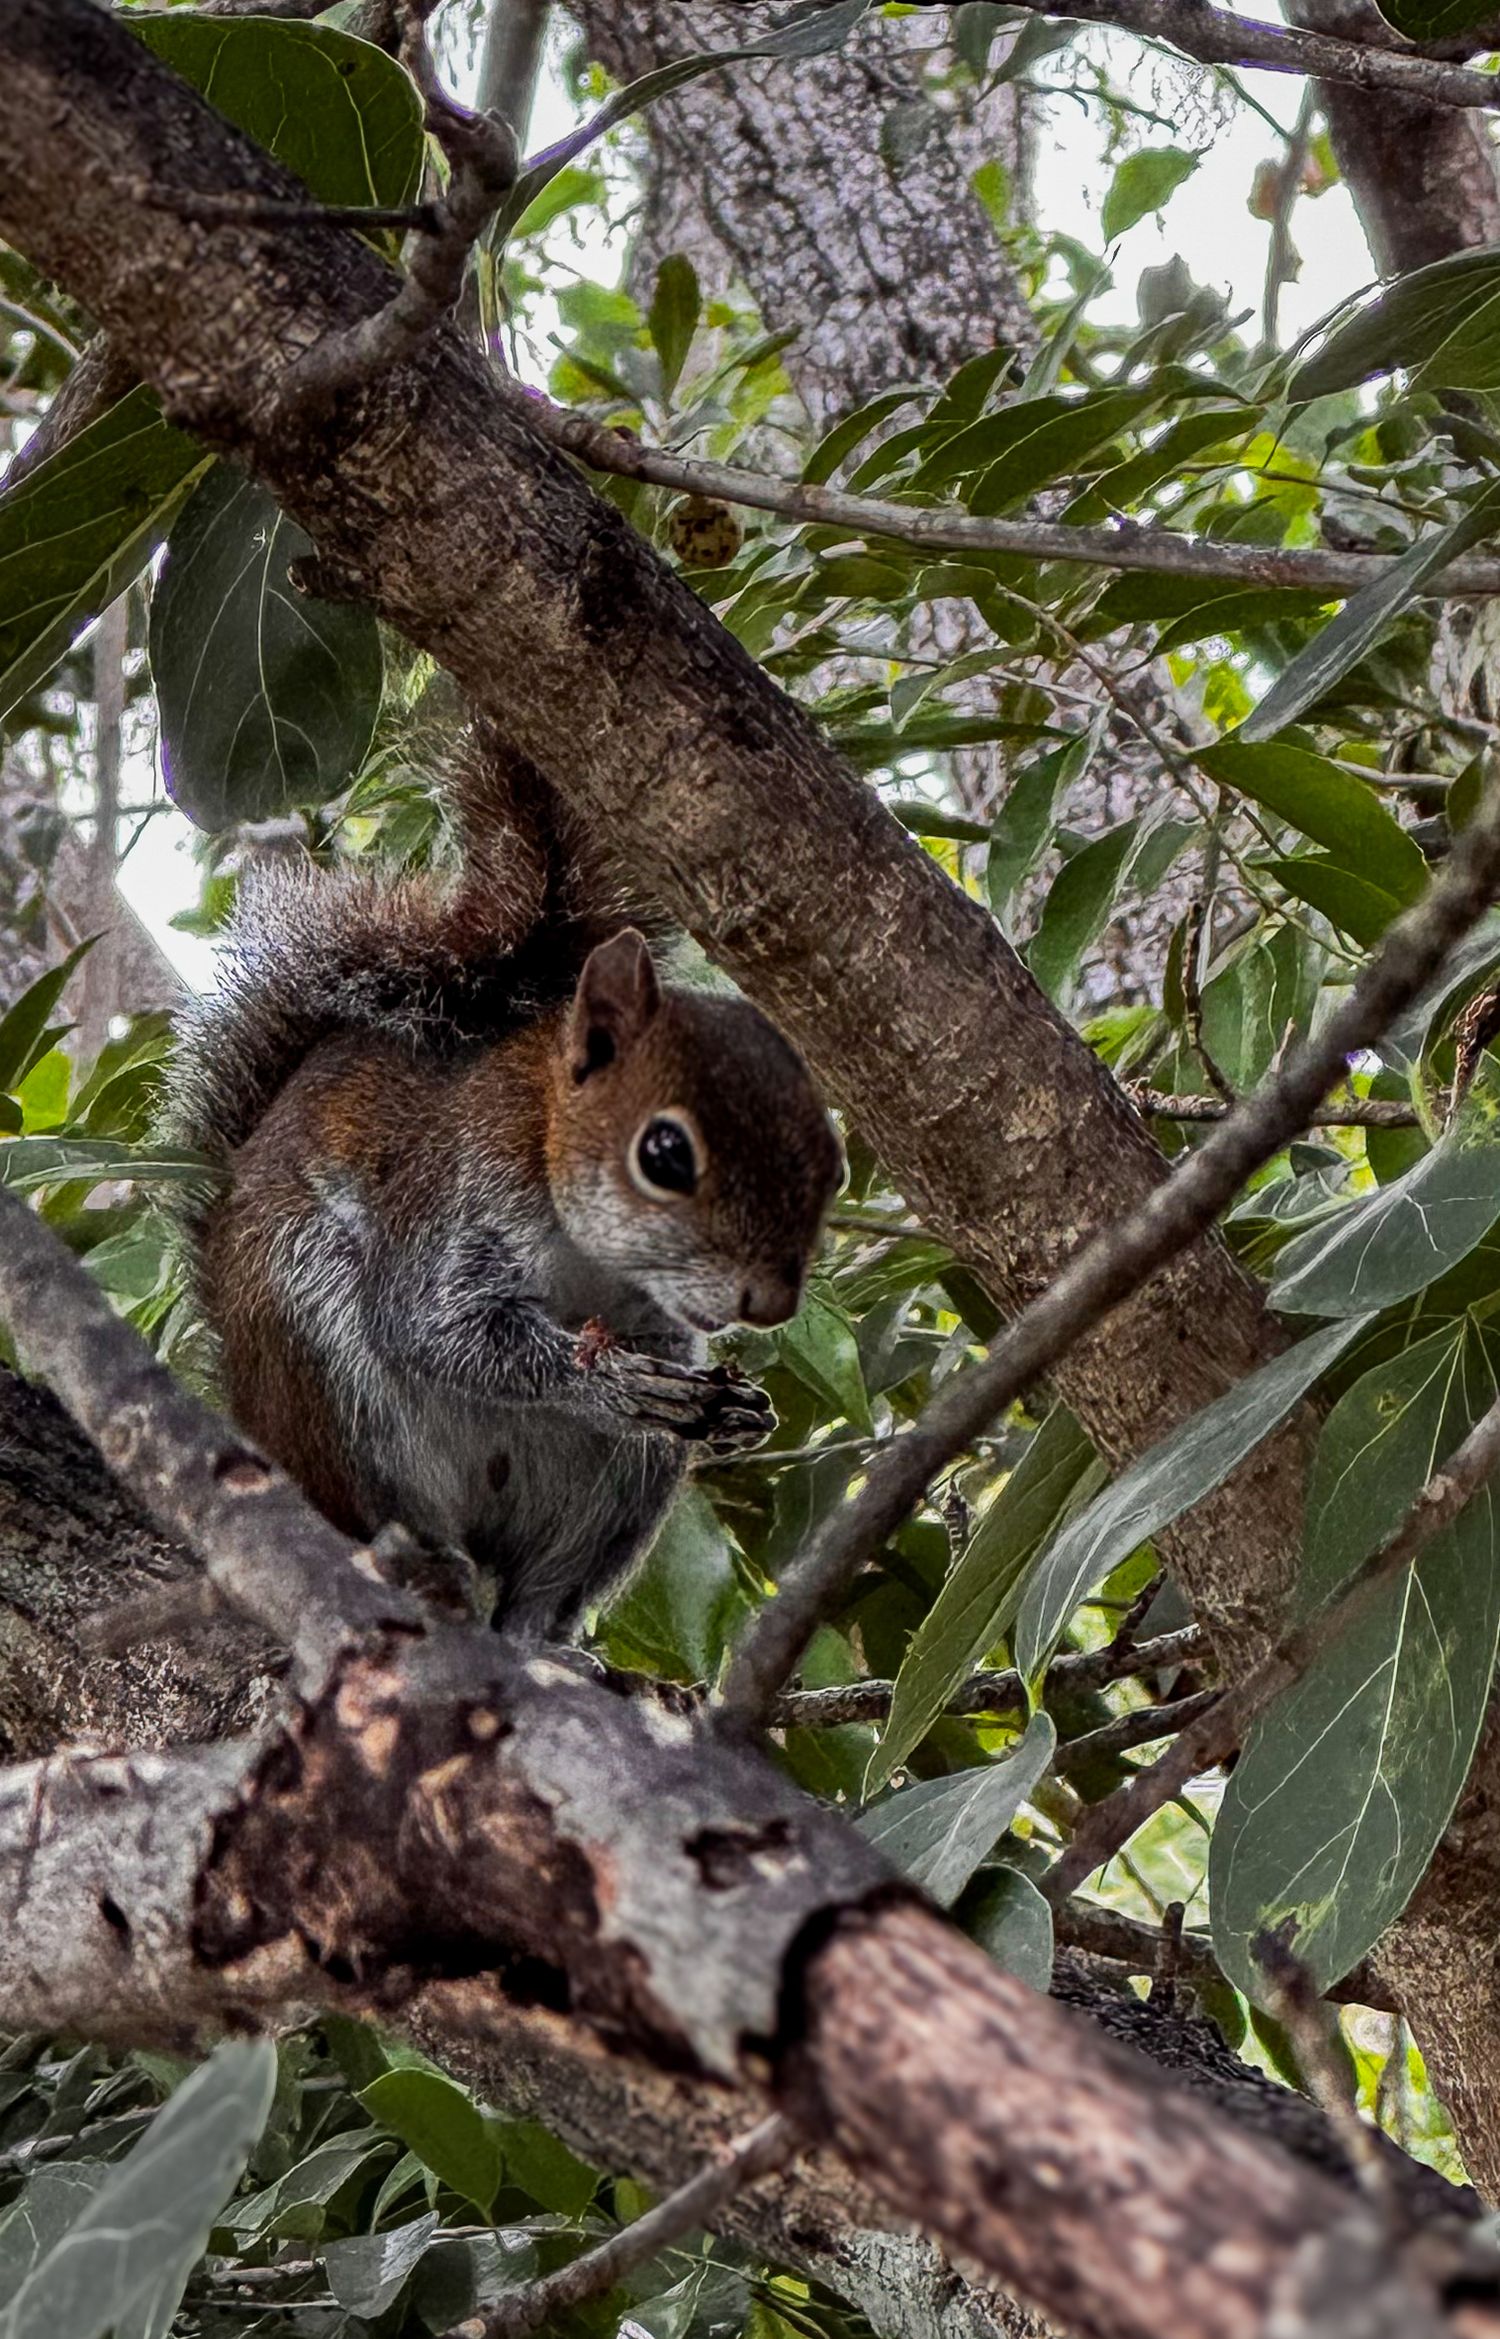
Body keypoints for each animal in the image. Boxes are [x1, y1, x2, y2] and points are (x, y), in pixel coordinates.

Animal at [164, 729, 843, 1642]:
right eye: (665, 1153)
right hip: (322, 1367)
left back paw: (544, 1640)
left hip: (613, 1493)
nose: (769, 1302)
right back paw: (426, 1574)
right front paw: (606, 1383)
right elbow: (436, 1328)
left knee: (541, 1594)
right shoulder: (455, 1197)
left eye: (833, 1160)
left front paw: (739, 1412)